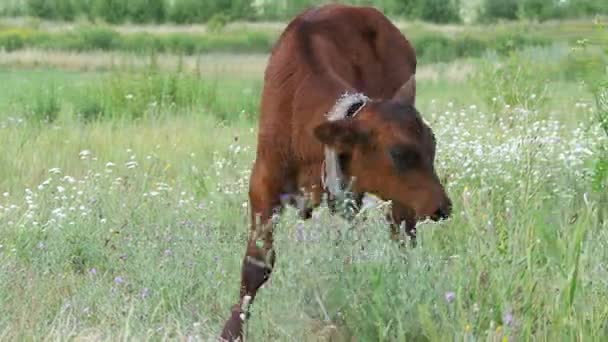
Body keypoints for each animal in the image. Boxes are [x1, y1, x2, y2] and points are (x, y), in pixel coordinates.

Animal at [221, 4, 448, 340]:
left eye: (432, 144)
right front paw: (233, 329)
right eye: (398, 153)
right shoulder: (263, 182)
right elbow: (257, 264)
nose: (443, 206)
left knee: (401, 230)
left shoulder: (347, 196)